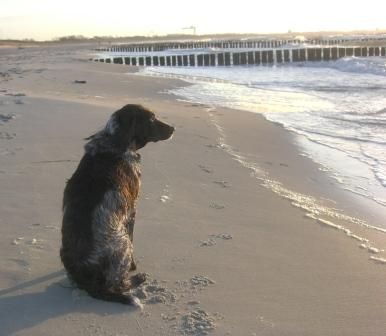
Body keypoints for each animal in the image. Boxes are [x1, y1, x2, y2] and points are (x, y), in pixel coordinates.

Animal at [60, 103, 175, 306]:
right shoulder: (132, 209)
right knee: (119, 285)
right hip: (123, 245)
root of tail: (88, 281)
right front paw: (135, 268)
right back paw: (138, 279)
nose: (173, 128)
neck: (114, 142)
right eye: (151, 119)